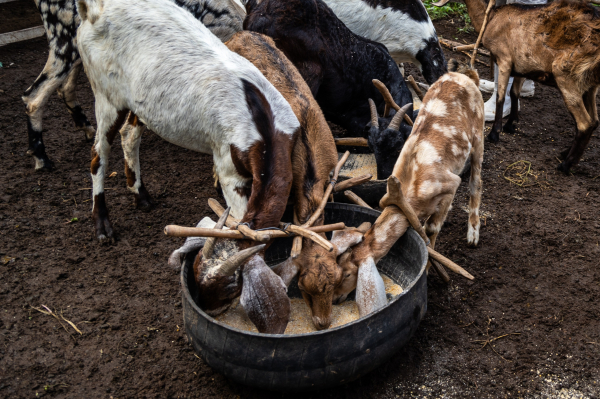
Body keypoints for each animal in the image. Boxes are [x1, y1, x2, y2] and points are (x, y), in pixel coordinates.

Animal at [336, 61, 486, 316]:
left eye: (348, 273)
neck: (406, 192)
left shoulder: (449, 185)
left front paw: (428, 271)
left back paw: (473, 234)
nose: (336, 299)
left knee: (476, 181)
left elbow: (432, 228)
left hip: (478, 134)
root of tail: (464, 76)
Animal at [436, 0, 600, 172]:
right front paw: (511, 125)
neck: (492, 18)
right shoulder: (523, 66)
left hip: (567, 77)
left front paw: (494, 133)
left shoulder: (504, 60)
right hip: (589, 86)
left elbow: (501, 96)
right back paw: (565, 154)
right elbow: (514, 93)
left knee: (585, 123)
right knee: (593, 121)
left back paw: (566, 165)